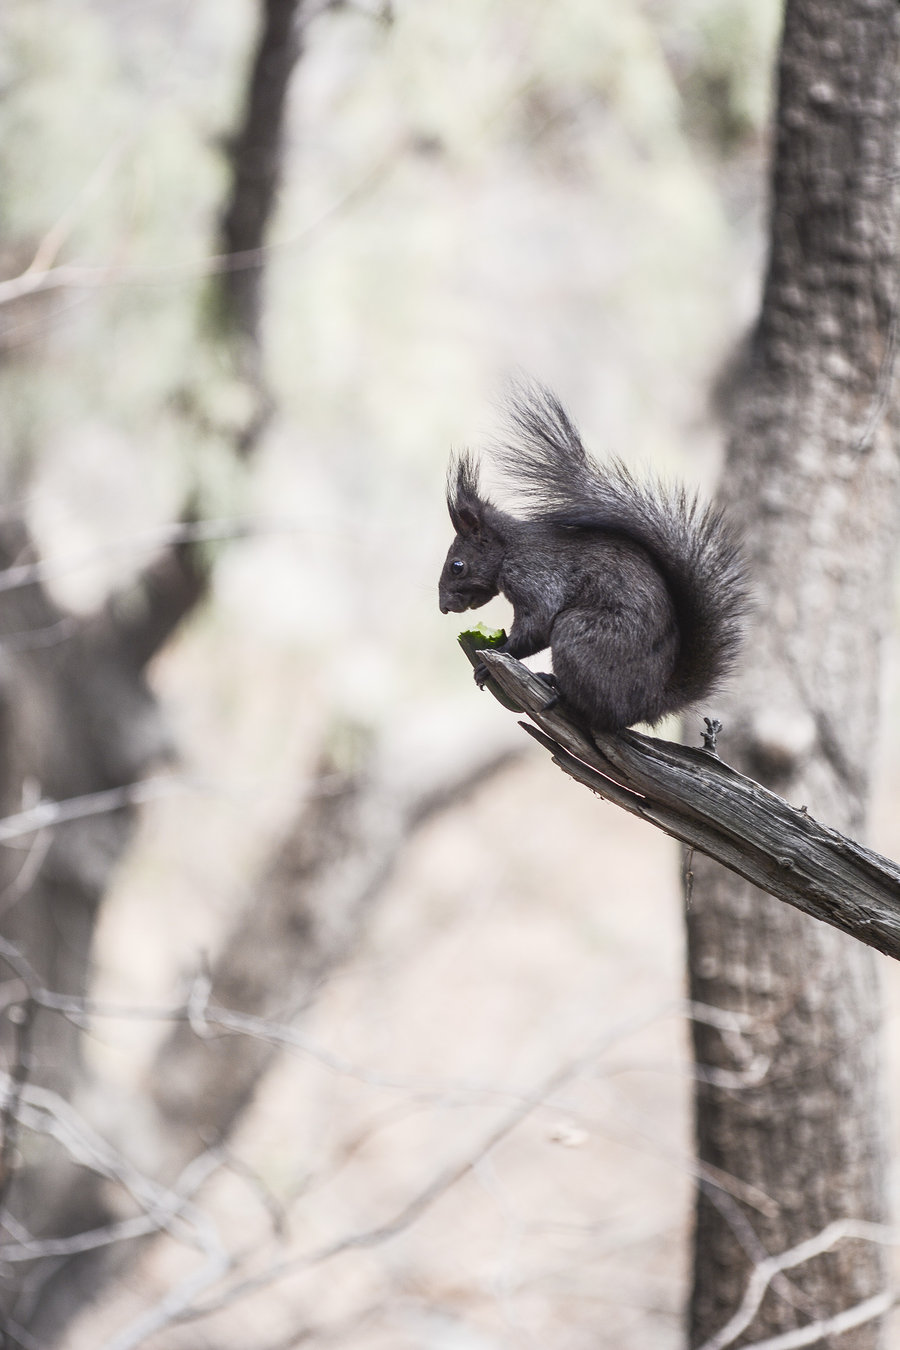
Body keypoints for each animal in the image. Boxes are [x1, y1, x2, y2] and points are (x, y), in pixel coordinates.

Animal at [439, 386, 750, 734]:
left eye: (457, 566)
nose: (444, 607)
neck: (509, 548)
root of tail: (649, 704)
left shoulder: (533, 575)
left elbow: (538, 623)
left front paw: (494, 658)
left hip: (578, 635)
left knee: (599, 714)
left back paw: (556, 686)